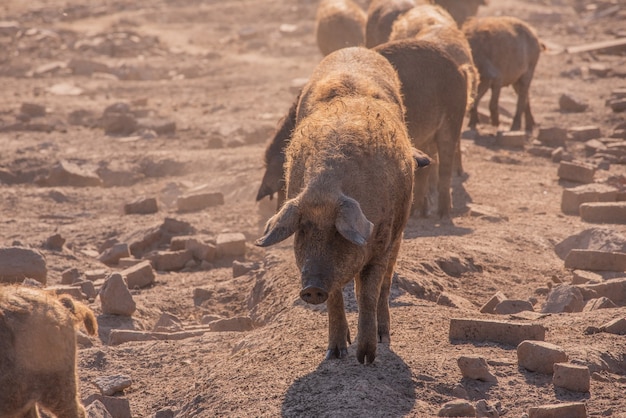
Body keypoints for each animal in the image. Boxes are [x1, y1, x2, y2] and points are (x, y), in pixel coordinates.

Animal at [252, 47, 424, 364]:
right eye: (303, 230)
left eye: (337, 233)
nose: (311, 288)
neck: (326, 190)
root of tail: (356, 49)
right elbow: (336, 297)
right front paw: (335, 353)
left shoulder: (382, 241)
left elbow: (367, 294)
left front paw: (366, 358)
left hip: (400, 231)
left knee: (385, 284)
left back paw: (383, 338)